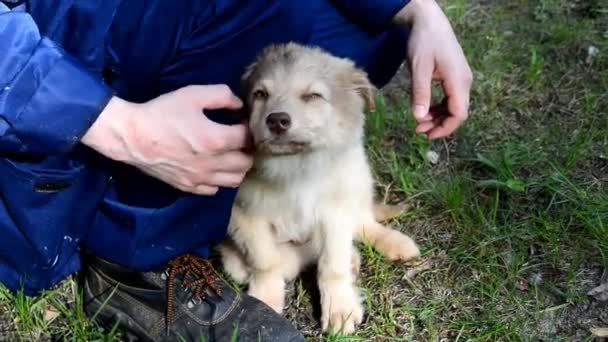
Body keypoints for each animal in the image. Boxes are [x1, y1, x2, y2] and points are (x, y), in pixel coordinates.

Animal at [218, 42, 422, 334]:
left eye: (313, 96)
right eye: (260, 94)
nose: (276, 121)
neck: (296, 170)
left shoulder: (335, 213)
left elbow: (332, 265)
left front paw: (339, 310)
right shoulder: (245, 215)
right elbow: (265, 261)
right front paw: (265, 302)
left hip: (358, 180)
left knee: (364, 223)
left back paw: (393, 244)